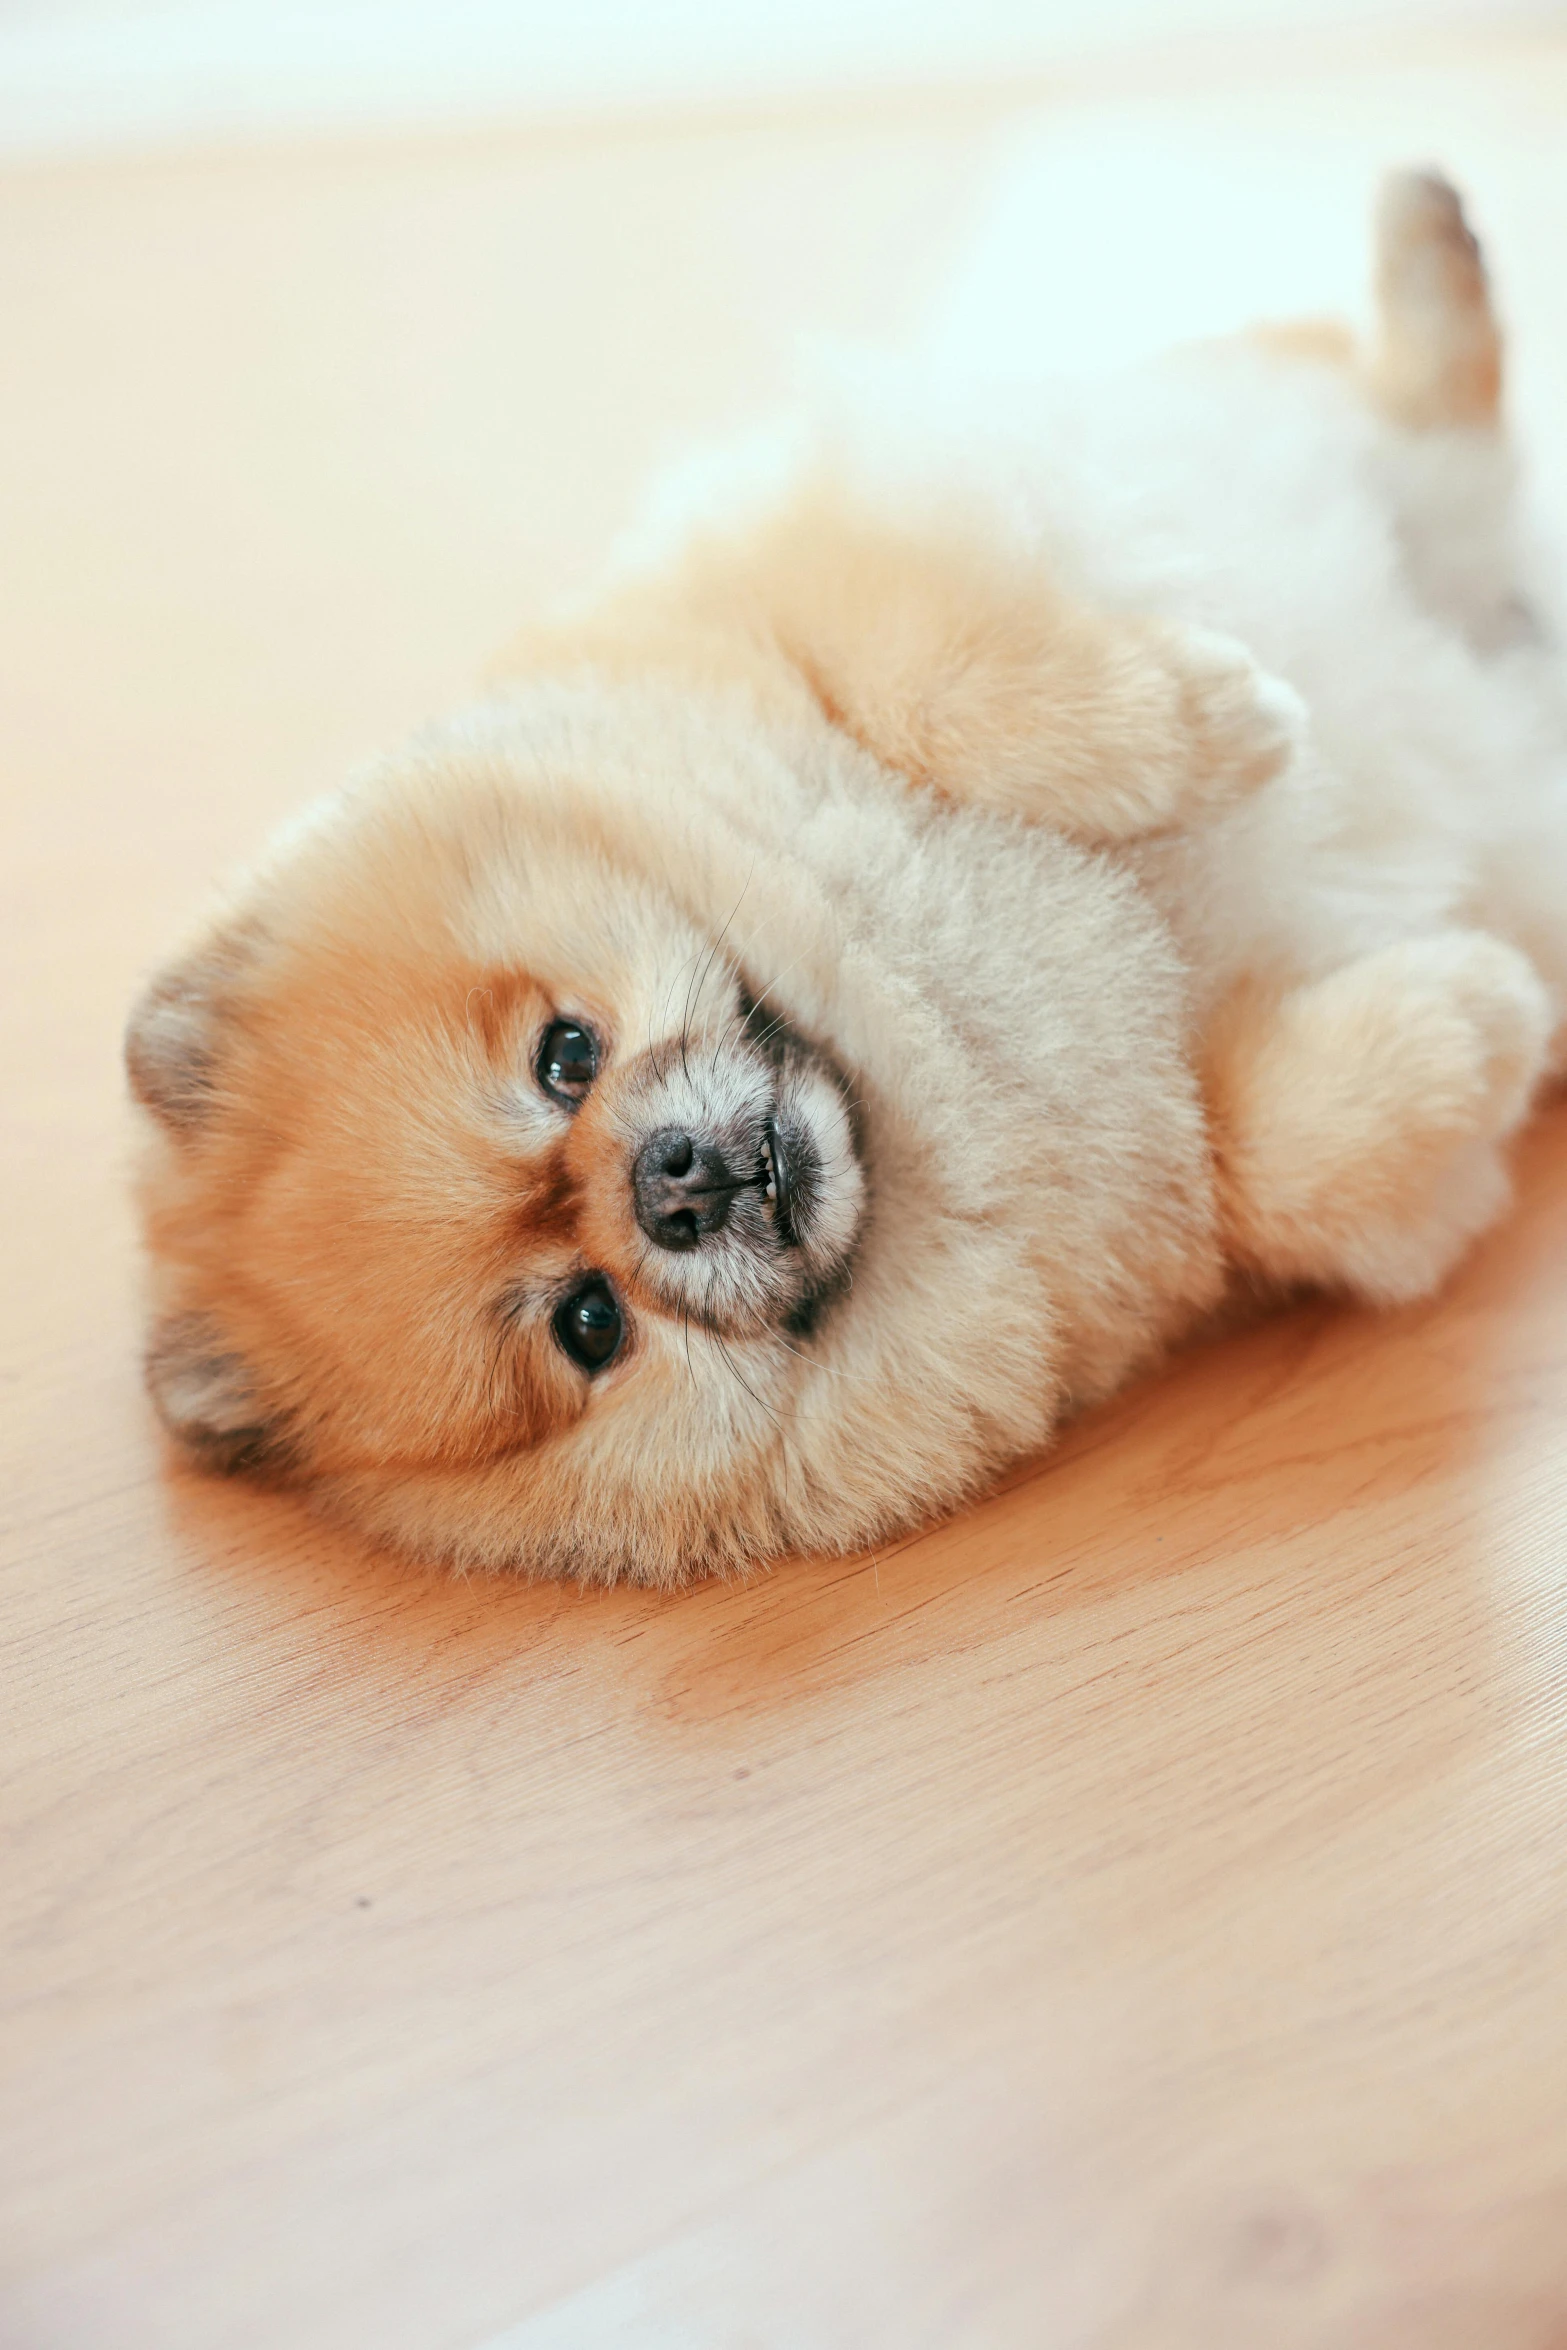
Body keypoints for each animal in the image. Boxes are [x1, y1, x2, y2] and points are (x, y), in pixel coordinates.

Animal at [128, 173, 1567, 1588]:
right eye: (589, 1323)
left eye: (564, 1056)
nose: (674, 1184)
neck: (920, 1019)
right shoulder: (1197, 1183)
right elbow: (1266, 1169)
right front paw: (1485, 1003)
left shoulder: (812, 581)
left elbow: (939, 681)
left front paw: (1222, 719)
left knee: (1417, 418)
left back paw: (1425, 239)